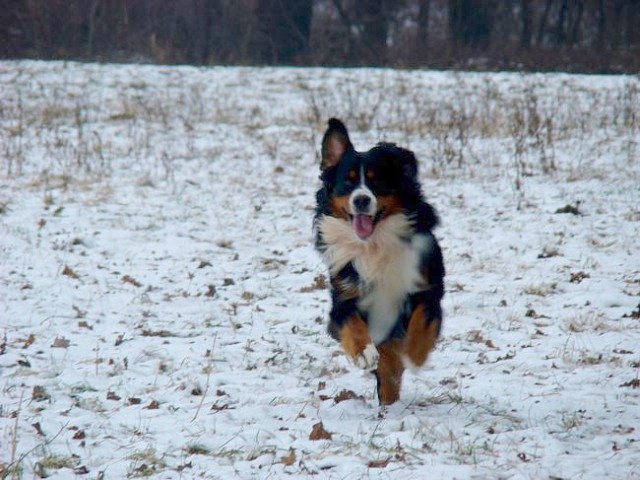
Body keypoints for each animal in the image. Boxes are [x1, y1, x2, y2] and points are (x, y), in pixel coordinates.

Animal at [316, 117, 444, 404]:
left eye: (377, 182)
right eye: (348, 182)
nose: (362, 199)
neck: (374, 243)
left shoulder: (428, 286)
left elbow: (423, 320)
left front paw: (416, 354)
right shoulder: (343, 295)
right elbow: (351, 323)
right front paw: (364, 353)